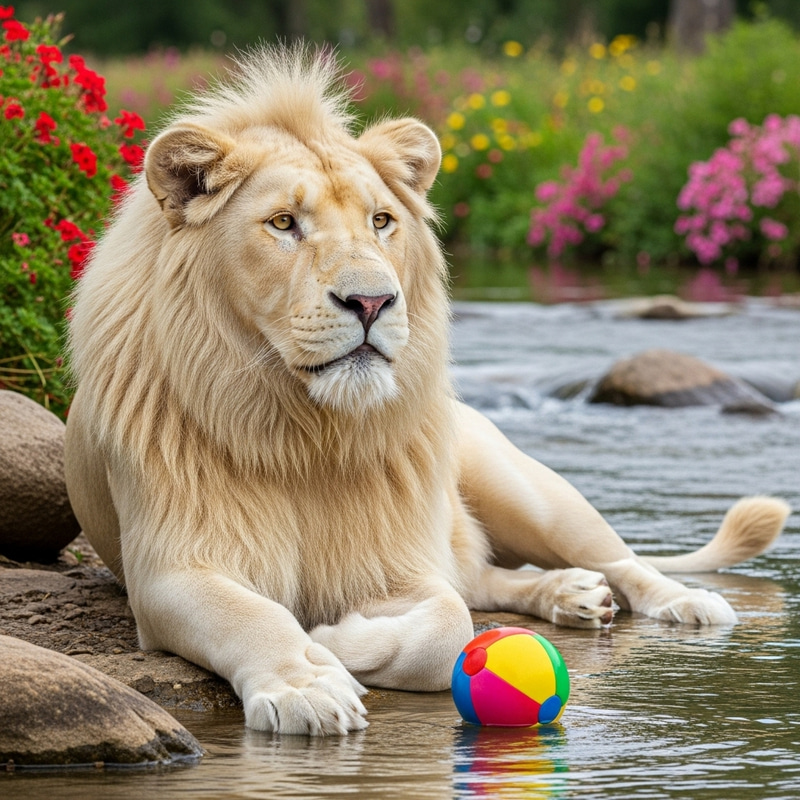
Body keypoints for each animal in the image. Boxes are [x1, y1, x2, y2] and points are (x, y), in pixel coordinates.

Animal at [64, 46, 790, 735]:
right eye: (283, 223)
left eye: (382, 221)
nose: (371, 301)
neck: (305, 429)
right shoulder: (172, 572)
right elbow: (257, 617)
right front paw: (308, 686)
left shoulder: (403, 561)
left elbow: (447, 626)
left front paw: (333, 640)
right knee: (487, 577)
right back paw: (572, 595)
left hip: (528, 491)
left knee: (615, 559)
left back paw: (680, 601)